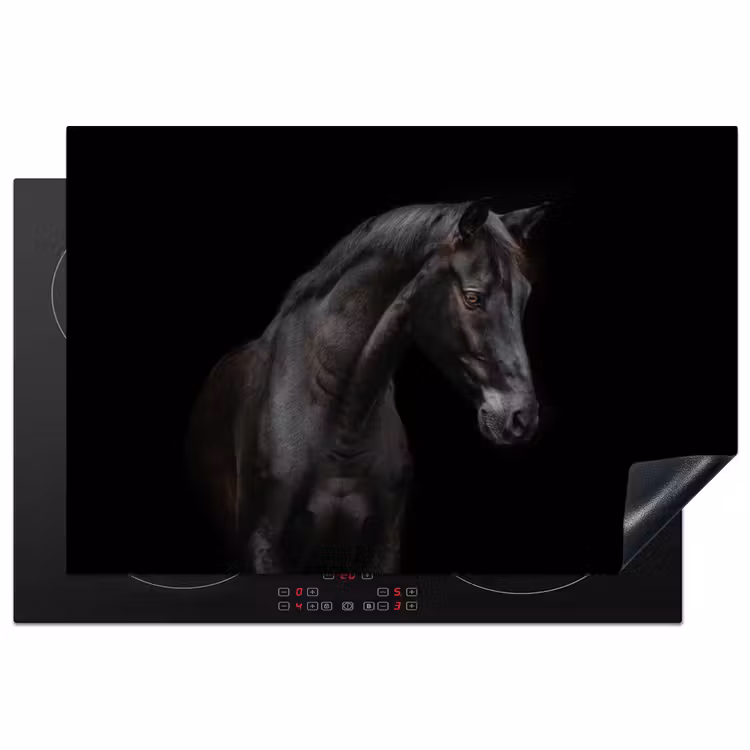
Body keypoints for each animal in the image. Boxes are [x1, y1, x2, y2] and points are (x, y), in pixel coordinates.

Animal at [186, 199, 548, 573]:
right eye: (473, 297)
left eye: (524, 296)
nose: (521, 417)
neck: (342, 423)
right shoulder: (263, 546)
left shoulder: (383, 546)